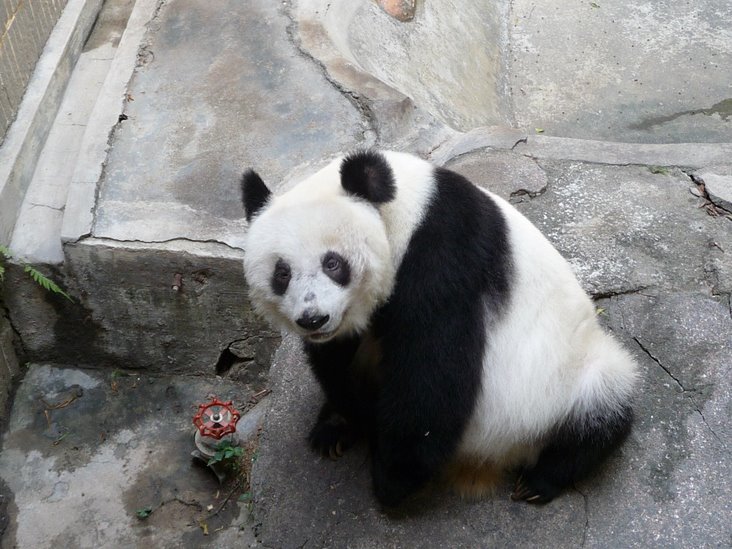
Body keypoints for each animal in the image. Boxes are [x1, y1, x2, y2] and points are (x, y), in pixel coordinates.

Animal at [239, 149, 636, 506]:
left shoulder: (444, 251)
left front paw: (391, 478)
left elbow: (432, 372)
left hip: (567, 374)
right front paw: (341, 422)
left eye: (332, 263)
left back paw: (541, 479)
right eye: (282, 273)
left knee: (604, 398)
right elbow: (338, 358)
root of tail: (498, 459)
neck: (408, 207)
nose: (313, 319)